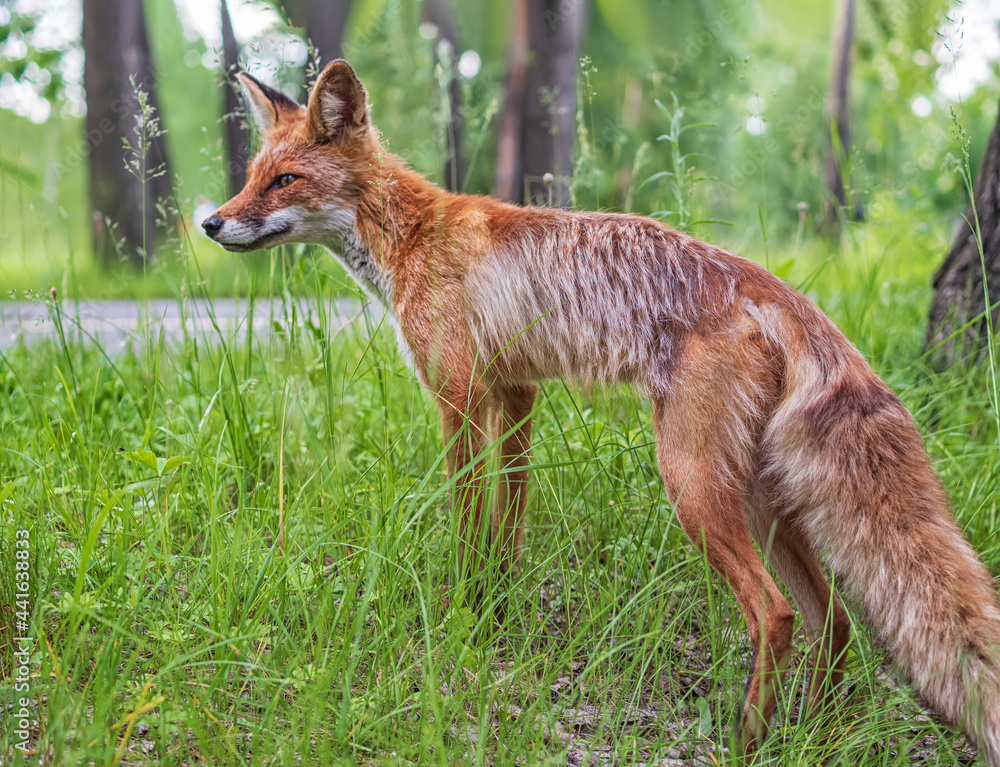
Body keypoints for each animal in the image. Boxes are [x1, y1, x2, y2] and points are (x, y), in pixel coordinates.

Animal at [201, 60, 1000, 760]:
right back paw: (812, 743)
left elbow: (468, 517)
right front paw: (496, 612)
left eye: (284, 180)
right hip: (761, 498)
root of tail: (768, 286)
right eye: (249, 178)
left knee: (775, 615)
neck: (414, 234)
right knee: (833, 622)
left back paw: (747, 743)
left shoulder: (458, 395)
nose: (210, 223)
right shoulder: (516, 394)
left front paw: (461, 612)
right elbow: (509, 523)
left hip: (693, 483)